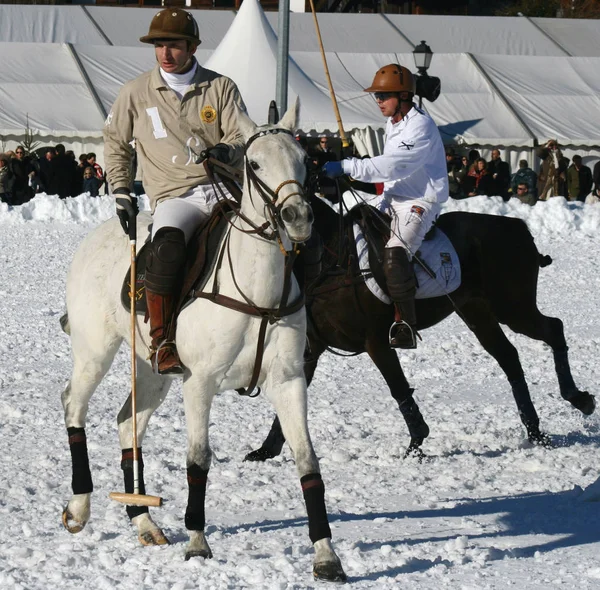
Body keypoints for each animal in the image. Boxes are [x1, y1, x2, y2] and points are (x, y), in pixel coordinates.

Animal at [61, 103, 346, 584]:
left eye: (306, 161)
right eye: (255, 164)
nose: (298, 218)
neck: (257, 289)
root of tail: (96, 237)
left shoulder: (288, 381)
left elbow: (308, 462)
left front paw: (326, 556)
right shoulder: (199, 382)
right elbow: (199, 458)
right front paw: (197, 542)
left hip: (152, 370)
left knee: (126, 421)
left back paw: (144, 520)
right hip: (94, 350)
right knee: (73, 405)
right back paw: (79, 508)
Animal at [245, 195, 596, 462]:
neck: (327, 261)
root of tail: (518, 228)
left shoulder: (376, 341)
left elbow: (398, 387)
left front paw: (416, 442)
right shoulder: (311, 349)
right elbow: (289, 395)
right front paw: (265, 450)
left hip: (513, 306)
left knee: (553, 329)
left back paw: (578, 398)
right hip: (477, 311)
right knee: (509, 356)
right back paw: (535, 429)